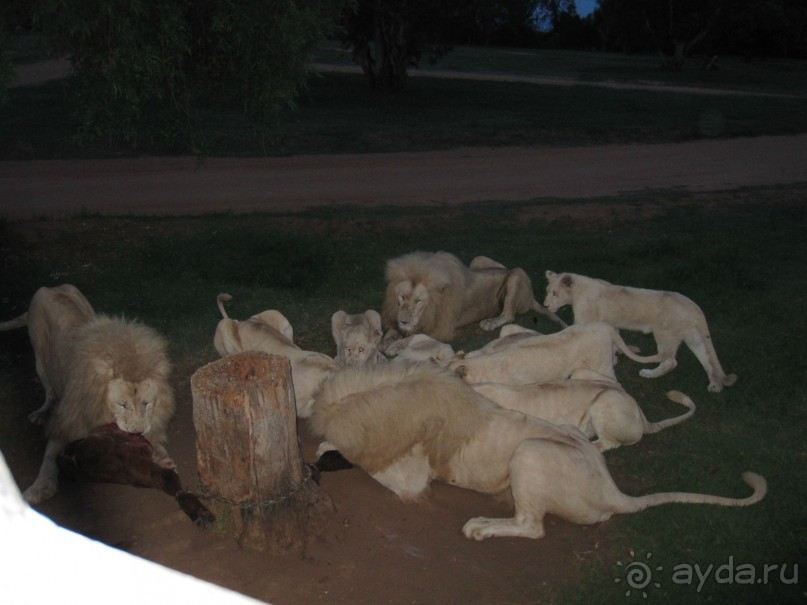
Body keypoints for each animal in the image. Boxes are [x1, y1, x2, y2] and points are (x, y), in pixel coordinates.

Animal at [0, 286, 176, 502]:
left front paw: (162, 456)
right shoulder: (68, 420)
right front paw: (39, 487)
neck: (101, 408)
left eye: (147, 403)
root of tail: (51, 288)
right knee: (49, 390)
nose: (137, 433)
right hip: (40, 359)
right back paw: (41, 413)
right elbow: (49, 457)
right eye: (122, 404)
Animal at [380, 251, 564, 344]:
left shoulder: (442, 328)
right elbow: (391, 332)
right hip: (478, 260)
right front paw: (387, 339)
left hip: (516, 274)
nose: (404, 321)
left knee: (509, 314)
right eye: (401, 297)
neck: (432, 305)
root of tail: (531, 297)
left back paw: (490, 323)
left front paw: (395, 345)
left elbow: (412, 338)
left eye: (418, 301)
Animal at [544, 270, 740, 392]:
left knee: (670, 360)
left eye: (555, 293)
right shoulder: (612, 324)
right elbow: (614, 341)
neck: (576, 291)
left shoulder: (584, 320)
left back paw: (649, 373)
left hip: (664, 333)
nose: (545, 305)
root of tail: (693, 305)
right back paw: (715, 386)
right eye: (547, 291)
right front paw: (615, 356)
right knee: (706, 359)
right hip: (693, 336)